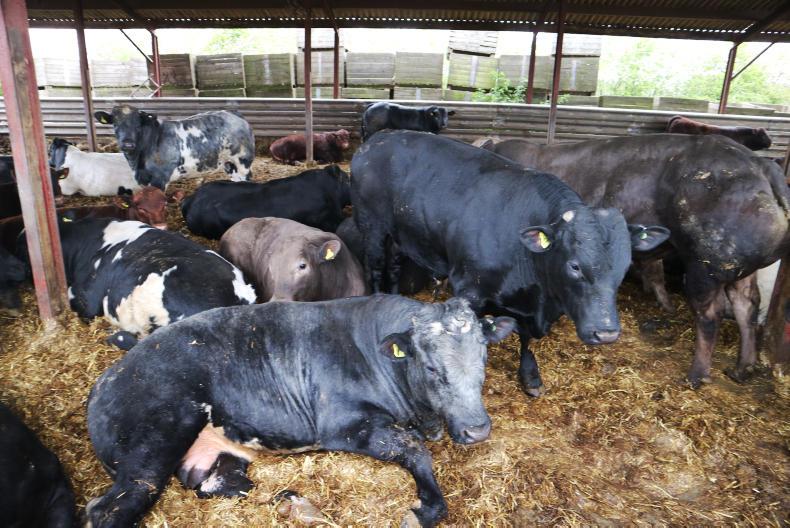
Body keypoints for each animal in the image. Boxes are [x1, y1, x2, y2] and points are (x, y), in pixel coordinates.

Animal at [85, 295, 516, 528]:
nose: (477, 429)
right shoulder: (345, 424)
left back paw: (285, 496)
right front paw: (425, 508)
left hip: (214, 456)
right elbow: (413, 450)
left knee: (217, 483)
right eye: (430, 367)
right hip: (157, 440)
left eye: (483, 357)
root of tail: (104, 381)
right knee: (108, 508)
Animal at [94, 105, 255, 190]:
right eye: (115, 124)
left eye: (138, 125)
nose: (127, 144)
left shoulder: (160, 178)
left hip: (243, 161)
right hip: (228, 163)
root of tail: (232, 112)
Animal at [352, 131, 670, 397]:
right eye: (575, 266)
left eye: (624, 267)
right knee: (376, 266)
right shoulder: (468, 288)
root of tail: (377, 139)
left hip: (399, 234)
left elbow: (526, 339)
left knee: (394, 265)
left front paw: (530, 376)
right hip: (372, 226)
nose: (606, 333)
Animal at [487, 134, 790, 387]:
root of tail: (762, 167)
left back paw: (695, 376)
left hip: (706, 263)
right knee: (747, 304)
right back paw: (742, 369)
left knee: (710, 314)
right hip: (738, 267)